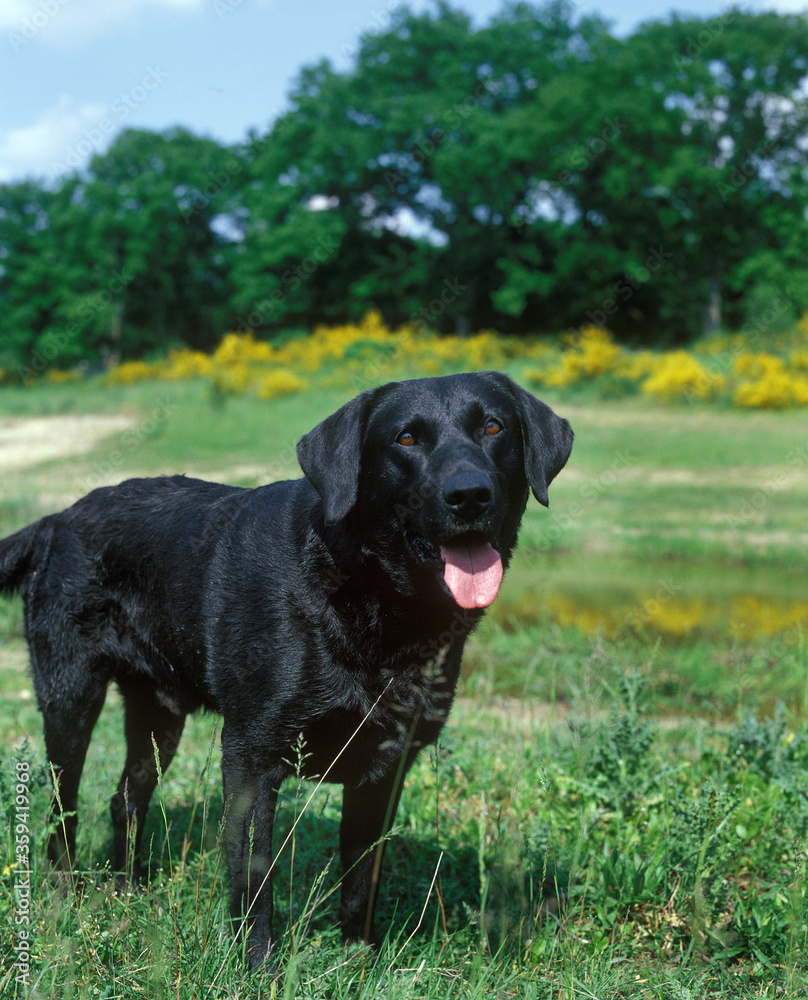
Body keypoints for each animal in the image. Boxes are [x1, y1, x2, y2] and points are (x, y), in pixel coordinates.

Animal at [0, 372, 572, 964]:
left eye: (493, 427)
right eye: (407, 438)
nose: (470, 494)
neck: (367, 596)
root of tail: (56, 520)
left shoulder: (385, 765)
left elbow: (362, 878)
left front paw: (360, 960)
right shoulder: (253, 756)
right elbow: (256, 878)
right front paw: (257, 968)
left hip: (159, 715)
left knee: (126, 801)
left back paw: (127, 893)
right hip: (70, 699)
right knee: (61, 810)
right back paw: (65, 900)